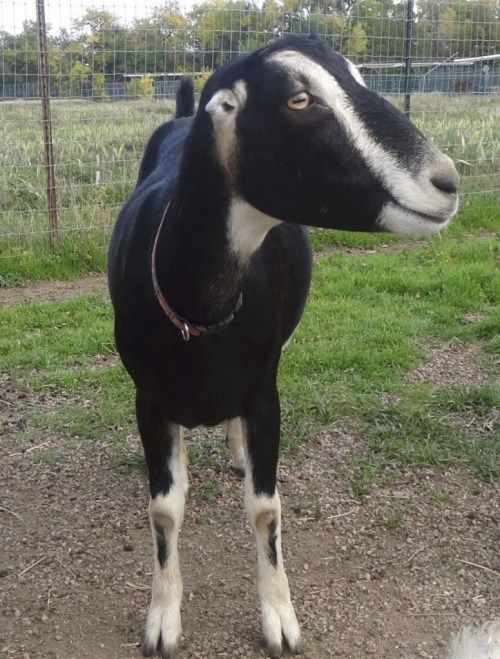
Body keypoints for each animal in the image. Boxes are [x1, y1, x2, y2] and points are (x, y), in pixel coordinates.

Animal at [108, 34, 459, 658]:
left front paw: (279, 617)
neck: (202, 314)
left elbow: (266, 509)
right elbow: (165, 510)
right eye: (299, 100)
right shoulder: (147, 398)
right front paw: (162, 618)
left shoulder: (263, 391)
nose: (447, 182)